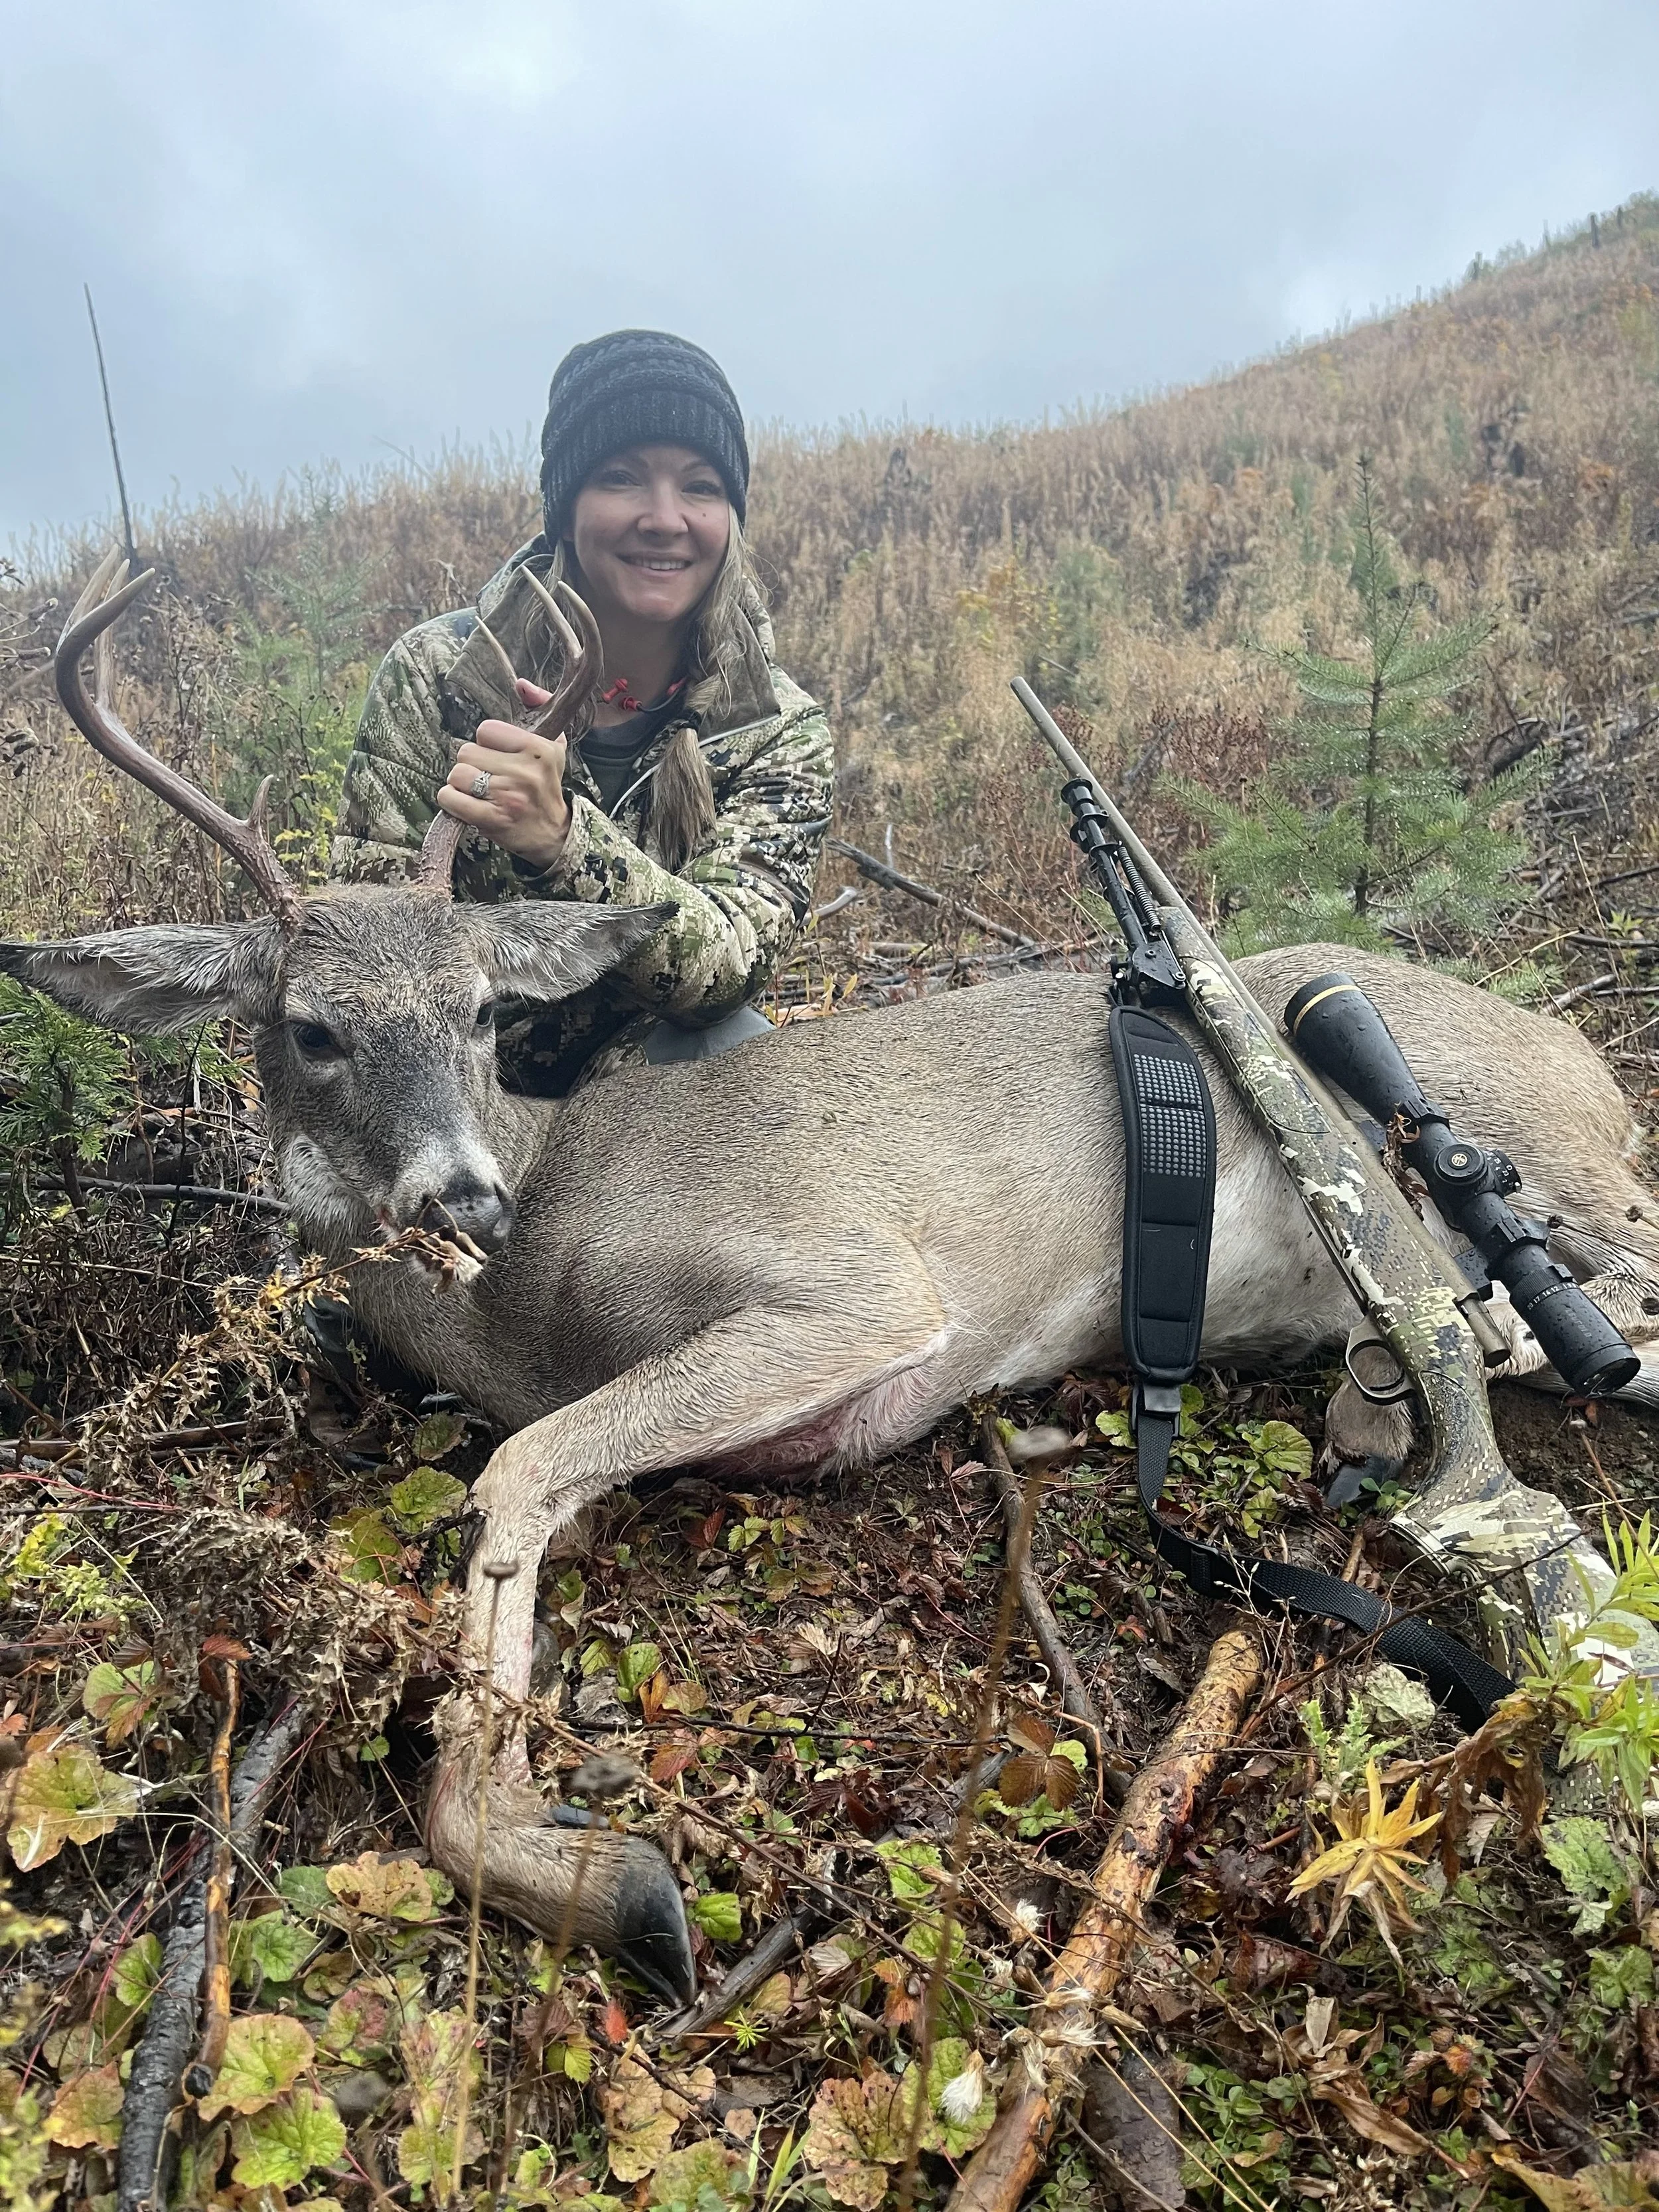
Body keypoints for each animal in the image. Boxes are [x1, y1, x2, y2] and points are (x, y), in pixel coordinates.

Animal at [10, 555, 1659, 2004]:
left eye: (482, 1010)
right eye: (311, 1029)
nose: (463, 1195)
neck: (527, 1288)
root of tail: (1581, 1058)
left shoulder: (856, 1284)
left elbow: (519, 1469)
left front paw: (609, 1879)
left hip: (1529, 1166)